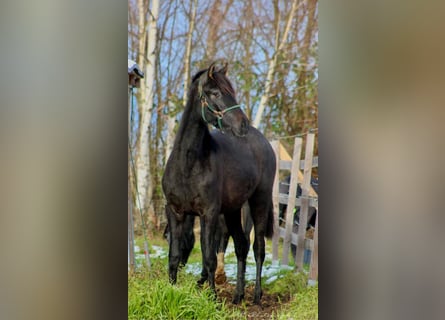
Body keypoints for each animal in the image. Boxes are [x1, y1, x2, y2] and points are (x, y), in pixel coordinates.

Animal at [163, 61, 274, 304]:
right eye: (214, 93)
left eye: (231, 91)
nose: (243, 124)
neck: (188, 164)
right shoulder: (175, 212)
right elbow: (173, 256)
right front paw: (171, 290)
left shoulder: (209, 213)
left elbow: (209, 257)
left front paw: (212, 297)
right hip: (232, 210)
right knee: (241, 246)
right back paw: (238, 295)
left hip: (259, 202)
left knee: (258, 248)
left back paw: (257, 296)